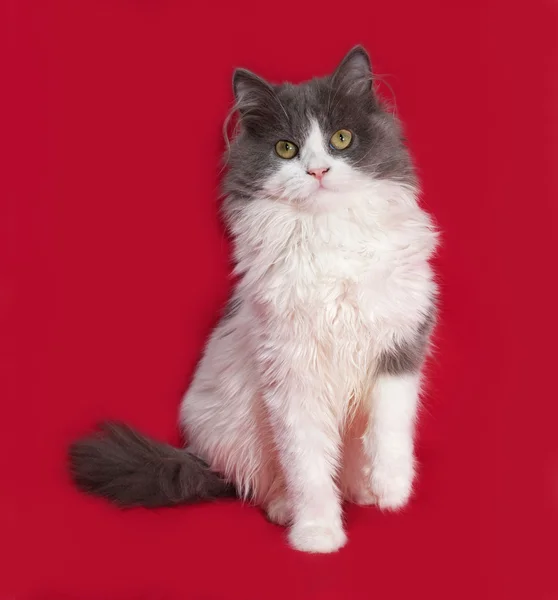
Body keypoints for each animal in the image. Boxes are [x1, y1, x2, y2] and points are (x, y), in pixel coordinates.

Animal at [70, 45, 440, 552]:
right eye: (286, 149)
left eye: (341, 139)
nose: (318, 170)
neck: (329, 237)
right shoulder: (291, 371)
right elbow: (308, 467)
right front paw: (317, 534)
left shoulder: (399, 347)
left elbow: (390, 429)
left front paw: (391, 489)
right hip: (236, 427)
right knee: (266, 482)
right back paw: (286, 509)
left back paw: (362, 490)